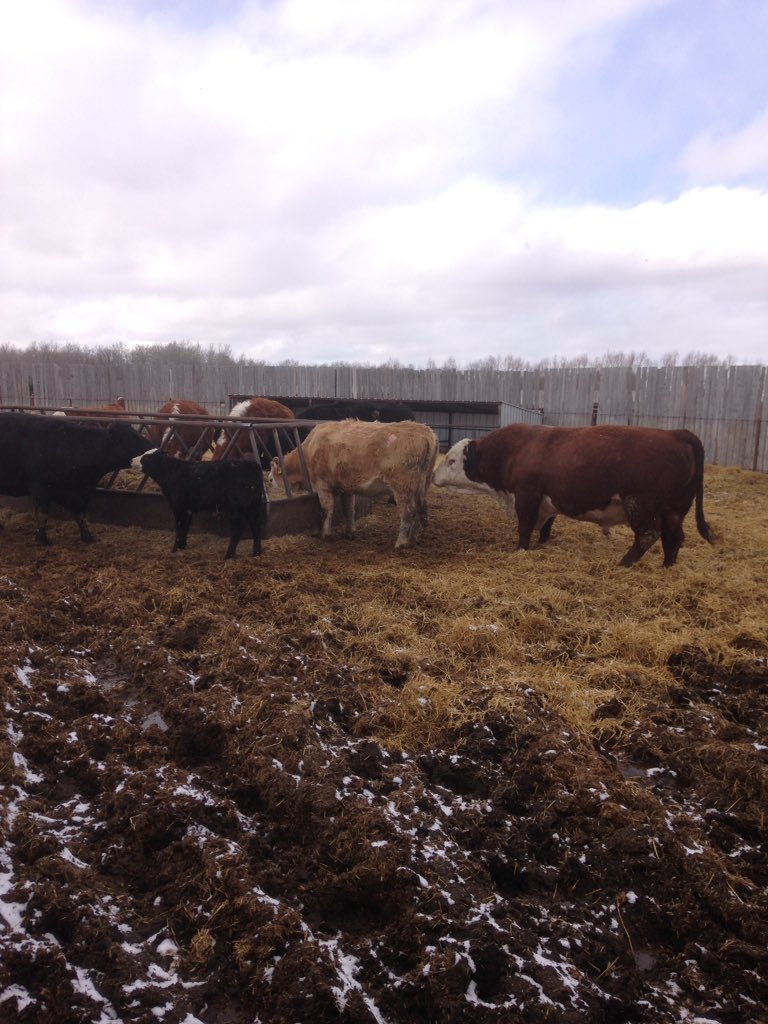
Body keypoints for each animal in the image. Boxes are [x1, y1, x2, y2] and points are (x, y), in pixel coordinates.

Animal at [0, 412, 151, 545]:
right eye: (134, 437)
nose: (152, 446)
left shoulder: (80, 494)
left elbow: (80, 516)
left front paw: (88, 537)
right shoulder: (40, 489)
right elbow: (43, 515)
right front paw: (42, 539)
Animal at [133, 449, 266, 559]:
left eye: (146, 457)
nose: (131, 460)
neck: (172, 473)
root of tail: (253, 466)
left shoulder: (178, 508)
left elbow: (179, 528)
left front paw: (174, 549)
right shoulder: (187, 510)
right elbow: (185, 528)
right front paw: (182, 546)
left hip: (236, 509)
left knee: (238, 530)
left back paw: (229, 555)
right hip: (253, 506)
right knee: (256, 527)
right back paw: (256, 553)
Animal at [269, 419, 439, 549]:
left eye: (271, 478)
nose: (269, 481)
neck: (310, 448)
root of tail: (425, 431)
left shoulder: (322, 484)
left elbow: (327, 509)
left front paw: (326, 534)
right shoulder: (346, 487)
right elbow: (349, 509)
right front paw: (349, 532)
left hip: (403, 487)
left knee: (408, 512)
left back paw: (401, 542)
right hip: (422, 486)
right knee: (422, 509)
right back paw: (413, 537)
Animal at [433, 424, 715, 567]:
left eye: (451, 460)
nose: (433, 477)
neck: (515, 450)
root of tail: (677, 434)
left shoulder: (526, 496)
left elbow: (525, 527)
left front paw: (521, 550)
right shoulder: (547, 501)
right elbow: (545, 526)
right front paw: (541, 544)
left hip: (640, 505)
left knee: (648, 535)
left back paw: (623, 564)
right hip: (674, 511)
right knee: (673, 538)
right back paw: (667, 567)